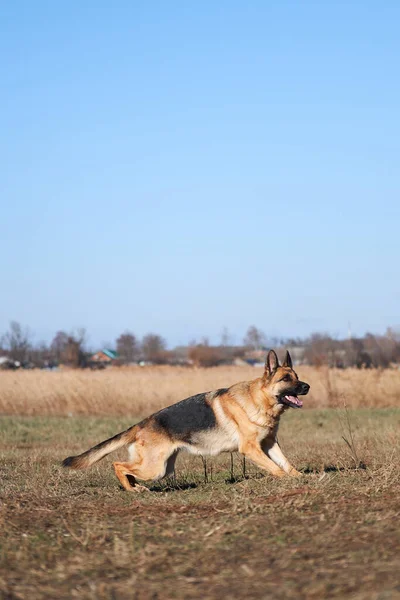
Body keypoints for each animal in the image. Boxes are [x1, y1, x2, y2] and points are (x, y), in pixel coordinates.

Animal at [64, 350, 310, 490]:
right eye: (286, 379)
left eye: (297, 377)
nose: (307, 386)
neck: (259, 399)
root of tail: (142, 424)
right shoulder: (251, 449)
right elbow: (275, 467)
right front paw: (286, 480)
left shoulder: (269, 444)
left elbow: (286, 463)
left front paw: (299, 477)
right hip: (154, 468)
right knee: (118, 465)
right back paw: (131, 488)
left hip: (161, 469)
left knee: (127, 468)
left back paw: (134, 486)